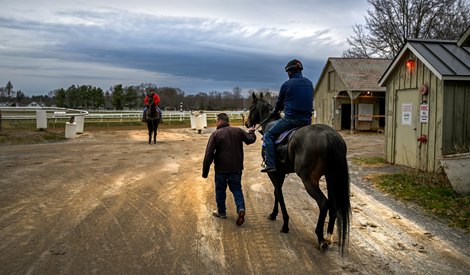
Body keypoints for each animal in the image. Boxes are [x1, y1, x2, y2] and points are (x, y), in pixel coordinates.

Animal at [248, 94, 350, 256]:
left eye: (251, 108)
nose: (247, 123)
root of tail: (329, 135)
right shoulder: (281, 173)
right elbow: (277, 193)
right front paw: (274, 214)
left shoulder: (273, 173)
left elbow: (279, 194)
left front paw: (285, 224)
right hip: (331, 177)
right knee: (333, 205)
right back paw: (328, 237)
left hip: (309, 180)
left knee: (324, 203)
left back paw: (320, 237)